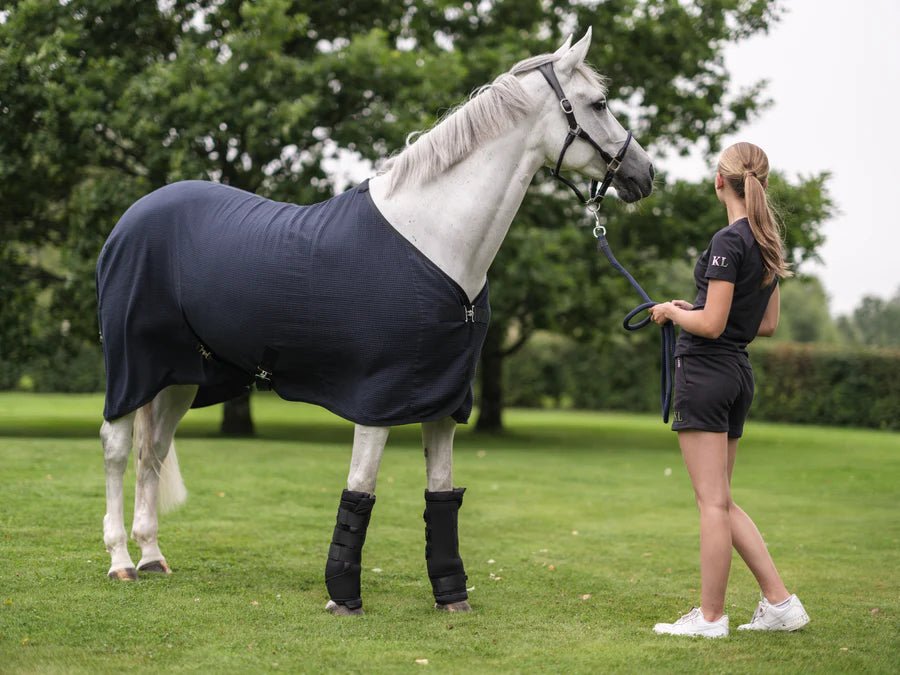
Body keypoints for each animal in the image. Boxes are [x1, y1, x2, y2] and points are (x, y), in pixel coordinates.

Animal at [100, 30, 652, 616]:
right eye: (599, 104)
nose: (645, 174)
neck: (433, 237)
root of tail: (132, 218)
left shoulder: (443, 399)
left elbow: (441, 494)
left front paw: (451, 596)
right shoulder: (376, 400)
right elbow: (360, 489)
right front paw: (343, 596)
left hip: (179, 378)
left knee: (152, 454)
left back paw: (152, 556)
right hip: (132, 368)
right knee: (117, 448)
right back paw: (120, 561)